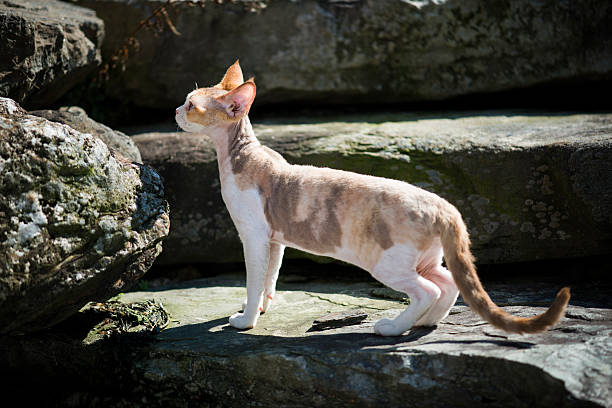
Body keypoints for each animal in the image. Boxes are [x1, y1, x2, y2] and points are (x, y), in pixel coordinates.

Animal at [175, 59, 572, 334]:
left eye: (192, 105)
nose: (176, 110)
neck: (237, 155)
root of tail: (444, 206)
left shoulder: (254, 237)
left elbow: (253, 280)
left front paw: (245, 319)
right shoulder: (275, 240)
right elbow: (270, 278)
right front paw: (260, 309)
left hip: (387, 263)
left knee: (428, 289)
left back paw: (394, 328)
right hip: (424, 258)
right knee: (448, 283)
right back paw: (424, 323)